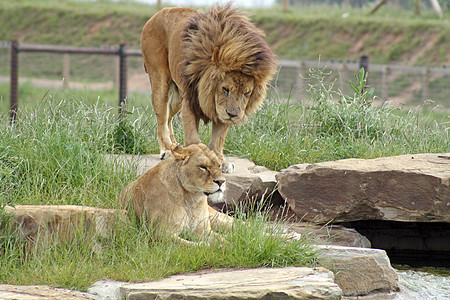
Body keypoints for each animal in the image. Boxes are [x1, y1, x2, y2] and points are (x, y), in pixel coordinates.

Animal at [142, 2, 278, 171]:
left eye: (247, 93)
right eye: (225, 89)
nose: (233, 114)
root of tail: (158, 13)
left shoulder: (221, 111)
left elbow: (218, 139)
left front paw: (220, 160)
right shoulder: (191, 101)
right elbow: (193, 138)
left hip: (178, 97)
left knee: (168, 118)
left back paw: (175, 148)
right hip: (160, 80)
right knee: (161, 119)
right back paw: (167, 149)